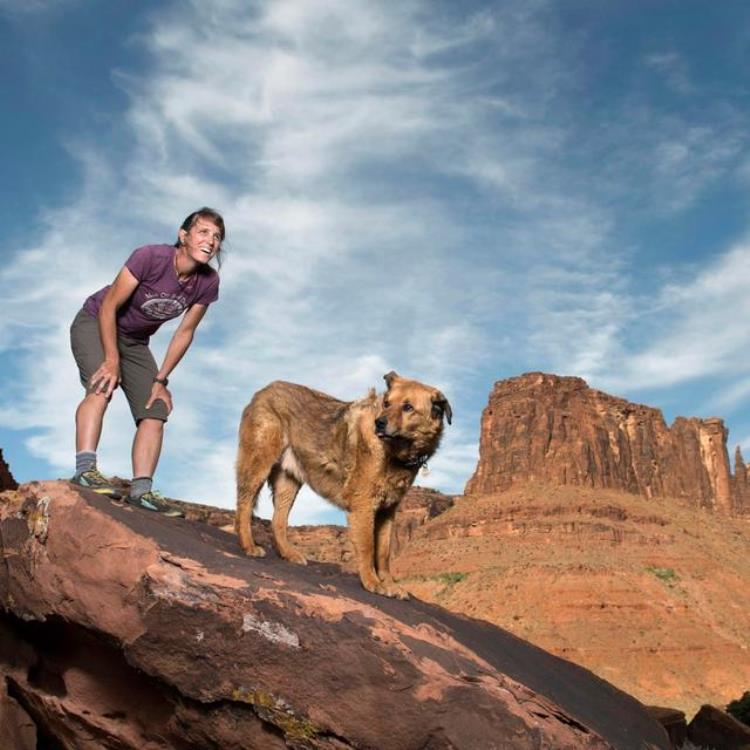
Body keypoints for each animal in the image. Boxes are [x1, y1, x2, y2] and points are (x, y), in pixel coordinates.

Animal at [236, 372, 452, 600]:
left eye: (408, 407)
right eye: (386, 403)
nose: (379, 423)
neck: (394, 454)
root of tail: (265, 389)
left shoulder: (387, 512)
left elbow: (383, 553)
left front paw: (389, 584)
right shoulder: (363, 507)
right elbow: (367, 548)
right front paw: (372, 583)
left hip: (289, 481)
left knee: (278, 519)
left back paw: (288, 553)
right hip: (259, 462)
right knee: (244, 504)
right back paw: (248, 545)